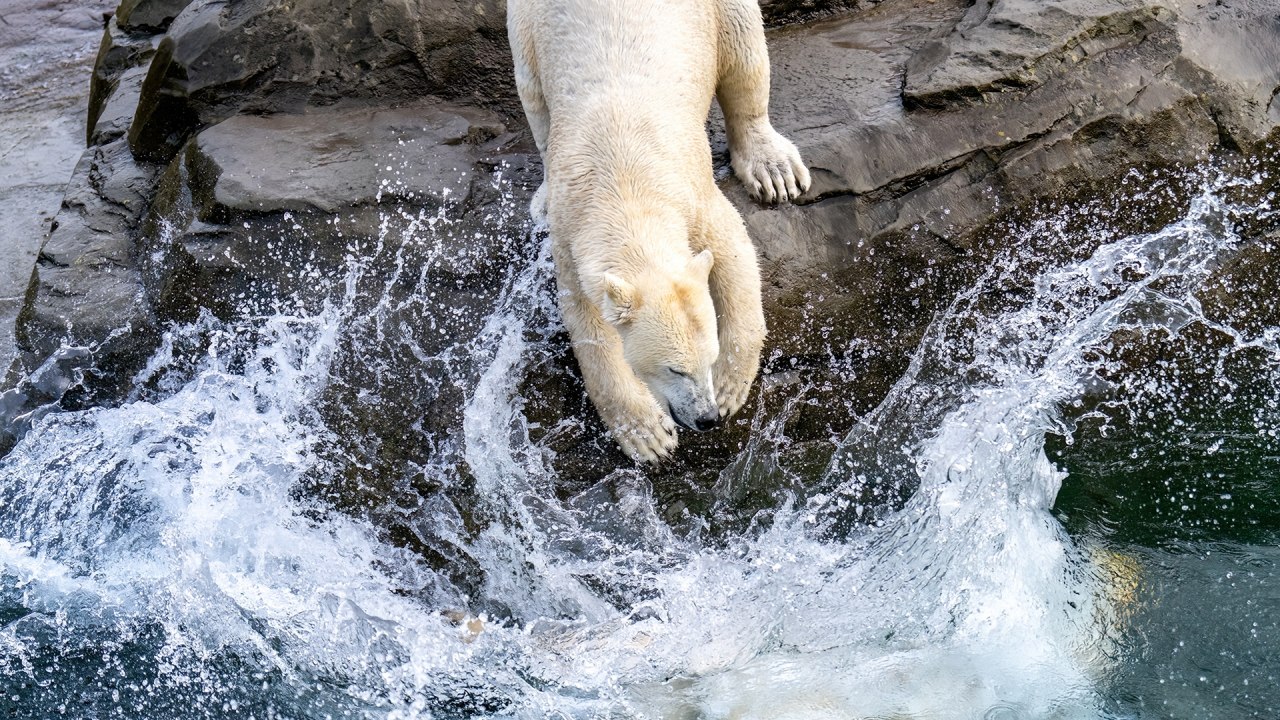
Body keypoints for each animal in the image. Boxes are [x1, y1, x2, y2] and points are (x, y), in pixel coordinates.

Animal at [507, 0, 810, 462]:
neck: (623, 178)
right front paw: (648, 433)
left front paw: (729, 387)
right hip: (524, 21)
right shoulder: (572, 238)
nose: (707, 419)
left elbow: (733, 254)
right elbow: (589, 327)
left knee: (744, 52)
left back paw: (773, 168)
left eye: (711, 355)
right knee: (533, 93)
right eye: (674, 369)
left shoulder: (694, 196)